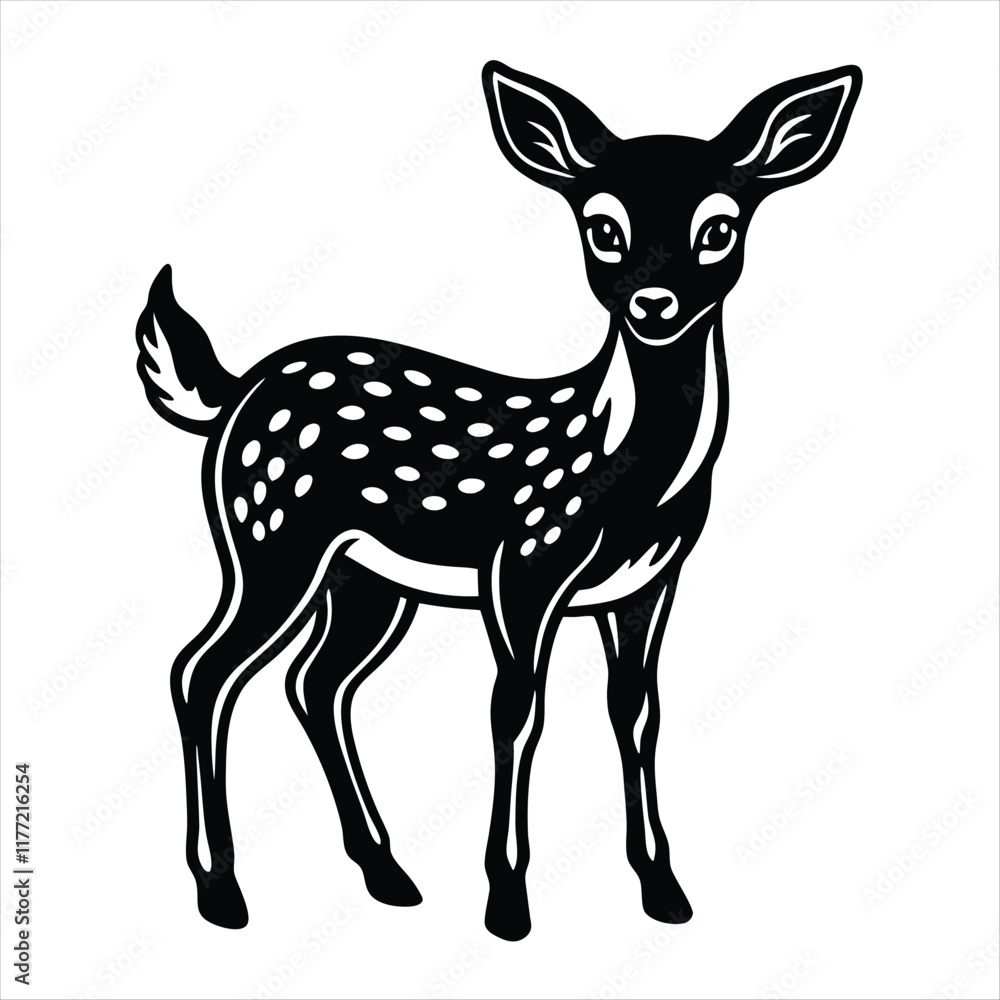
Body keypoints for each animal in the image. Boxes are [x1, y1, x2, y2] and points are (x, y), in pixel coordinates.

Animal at [136, 60, 861, 941]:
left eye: (720, 227)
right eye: (603, 227)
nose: (654, 304)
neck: (628, 472)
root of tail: (234, 391)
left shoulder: (652, 580)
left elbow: (637, 712)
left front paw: (663, 889)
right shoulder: (524, 563)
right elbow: (516, 709)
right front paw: (507, 902)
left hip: (366, 580)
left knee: (314, 682)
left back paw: (387, 872)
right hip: (270, 535)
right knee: (201, 671)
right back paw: (222, 891)